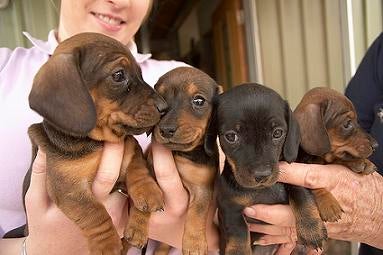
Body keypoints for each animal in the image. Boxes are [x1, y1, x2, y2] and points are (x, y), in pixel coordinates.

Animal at [25, 32, 166, 255]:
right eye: (118, 75)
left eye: (140, 74)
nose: (164, 107)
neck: (98, 142)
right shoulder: (69, 188)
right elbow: (94, 212)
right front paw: (107, 244)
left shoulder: (131, 150)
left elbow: (137, 168)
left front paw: (147, 191)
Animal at [126, 66, 222, 254]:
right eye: (161, 100)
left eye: (199, 101)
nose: (166, 130)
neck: (180, 154)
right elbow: (143, 195)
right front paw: (137, 227)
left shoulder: (202, 189)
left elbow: (197, 213)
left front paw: (194, 243)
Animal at [212, 83, 328, 253]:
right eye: (231, 136)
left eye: (277, 133)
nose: (262, 175)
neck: (262, 190)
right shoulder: (229, 207)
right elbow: (238, 234)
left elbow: (300, 192)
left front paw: (311, 228)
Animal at [294, 86, 378, 222]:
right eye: (347, 124)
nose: (376, 145)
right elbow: (313, 185)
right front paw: (329, 204)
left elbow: (336, 159)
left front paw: (363, 162)